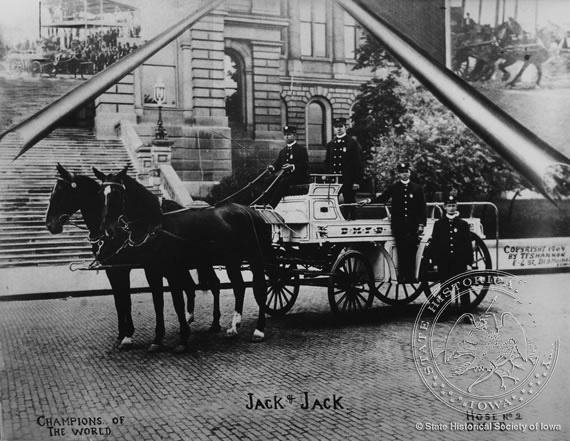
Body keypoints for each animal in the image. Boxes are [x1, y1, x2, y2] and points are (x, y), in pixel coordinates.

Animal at [43, 163, 222, 352]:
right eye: (99, 195)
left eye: (62, 191)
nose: (49, 224)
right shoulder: (113, 269)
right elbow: (120, 301)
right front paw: (123, 335)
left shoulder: (127, 268)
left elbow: (133, 300)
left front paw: (130, 336)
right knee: (190, 285)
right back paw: (189, 319)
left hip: (200, 262)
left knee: (214, 284)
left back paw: (215, 323)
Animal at [94, 165, 272, 340]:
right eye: (100, 194)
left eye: (117, 193)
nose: (106, 230)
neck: (157, 223)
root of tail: (251, 211)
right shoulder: (153, 269)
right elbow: (159, 300)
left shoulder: (170, 269)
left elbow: (176, 300)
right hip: (231, 261)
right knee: (239, 287)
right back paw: (234, 325)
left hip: (255, 257)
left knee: (261, 288)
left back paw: (259, 329)